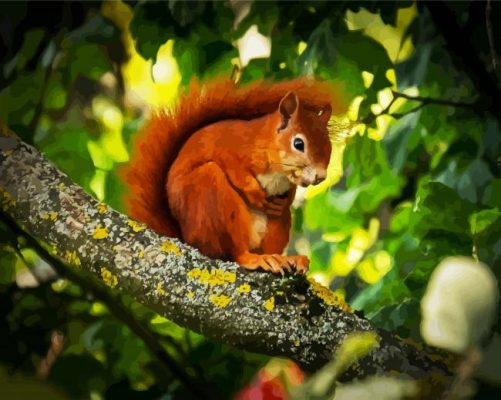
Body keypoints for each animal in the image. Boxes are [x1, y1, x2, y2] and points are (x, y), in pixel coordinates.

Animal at [123, 76, 342, 274]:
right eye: (298, 144)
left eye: (329, 147)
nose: (321, 177)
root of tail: (187, 238)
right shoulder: (227, 148)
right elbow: (236, 171)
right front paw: (255, 193)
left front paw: (283, 201)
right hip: (210, 194)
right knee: (234, 253)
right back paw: (254, 259)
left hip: (276, 227)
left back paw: (283, 258)